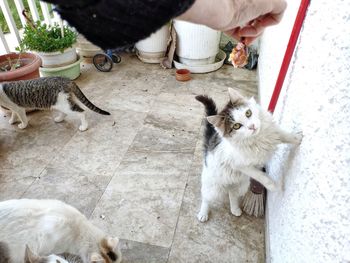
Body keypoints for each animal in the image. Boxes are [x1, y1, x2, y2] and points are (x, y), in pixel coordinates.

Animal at [196, 88, 302, 223]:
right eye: (236, 126)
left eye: (248, 113)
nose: (252, 126)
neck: (257, 138)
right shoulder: (241, 165)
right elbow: (261, 176)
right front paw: (274, 186)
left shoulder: (272, 133)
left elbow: (284, 135)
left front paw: (297, 138)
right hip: (213, 187)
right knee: (206, 198)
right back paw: (203, 213)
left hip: (241, 185)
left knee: (233, 194)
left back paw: (235, 209)